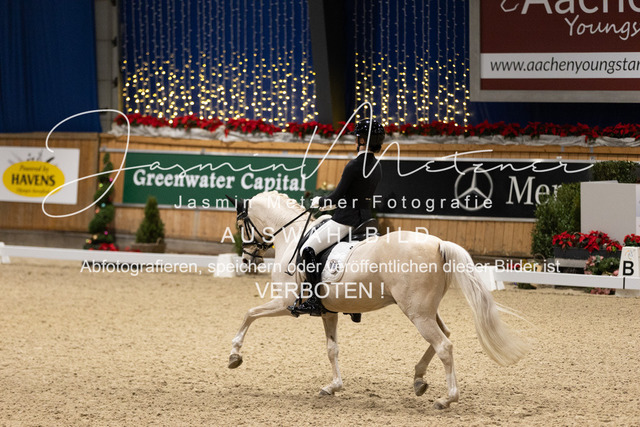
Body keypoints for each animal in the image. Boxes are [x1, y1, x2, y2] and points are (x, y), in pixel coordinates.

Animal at [227, 191, 528, 409]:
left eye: (241, 225)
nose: (247, 261)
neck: (292, 237)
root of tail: (438, 243)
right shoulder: (328, 311)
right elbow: (332, 349)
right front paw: (333, 386)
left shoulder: (285, 302)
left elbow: (249, 313)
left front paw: (234, 355)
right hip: (426, 310)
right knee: (444, 335)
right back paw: (418, 379)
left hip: (417, 313)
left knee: (444, 345)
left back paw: (446, 398)